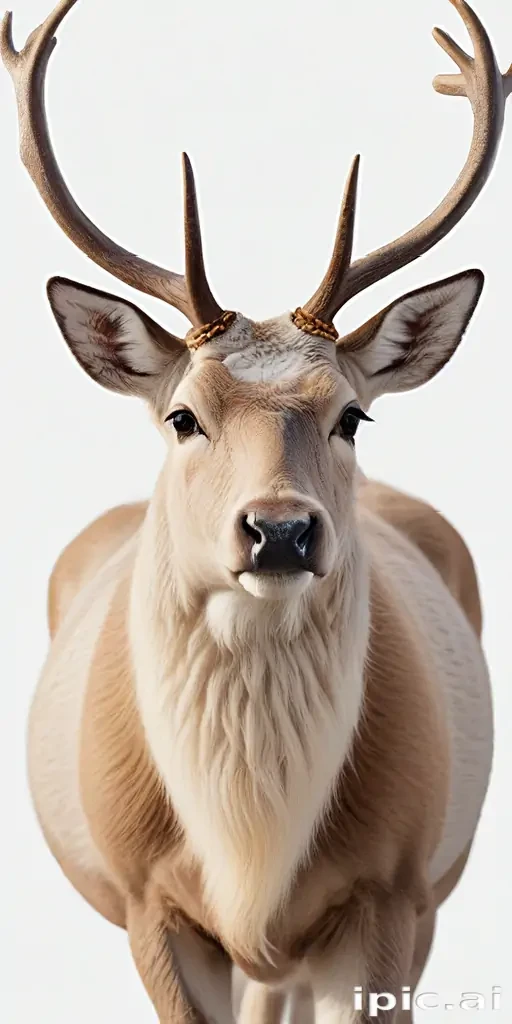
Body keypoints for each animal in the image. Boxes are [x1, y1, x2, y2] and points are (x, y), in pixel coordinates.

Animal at [2, 0, 511, 1021]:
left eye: (352, 414)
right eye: (183, 415)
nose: (280, 528)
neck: (252, 848)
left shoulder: (393, 888)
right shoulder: (145, 896)